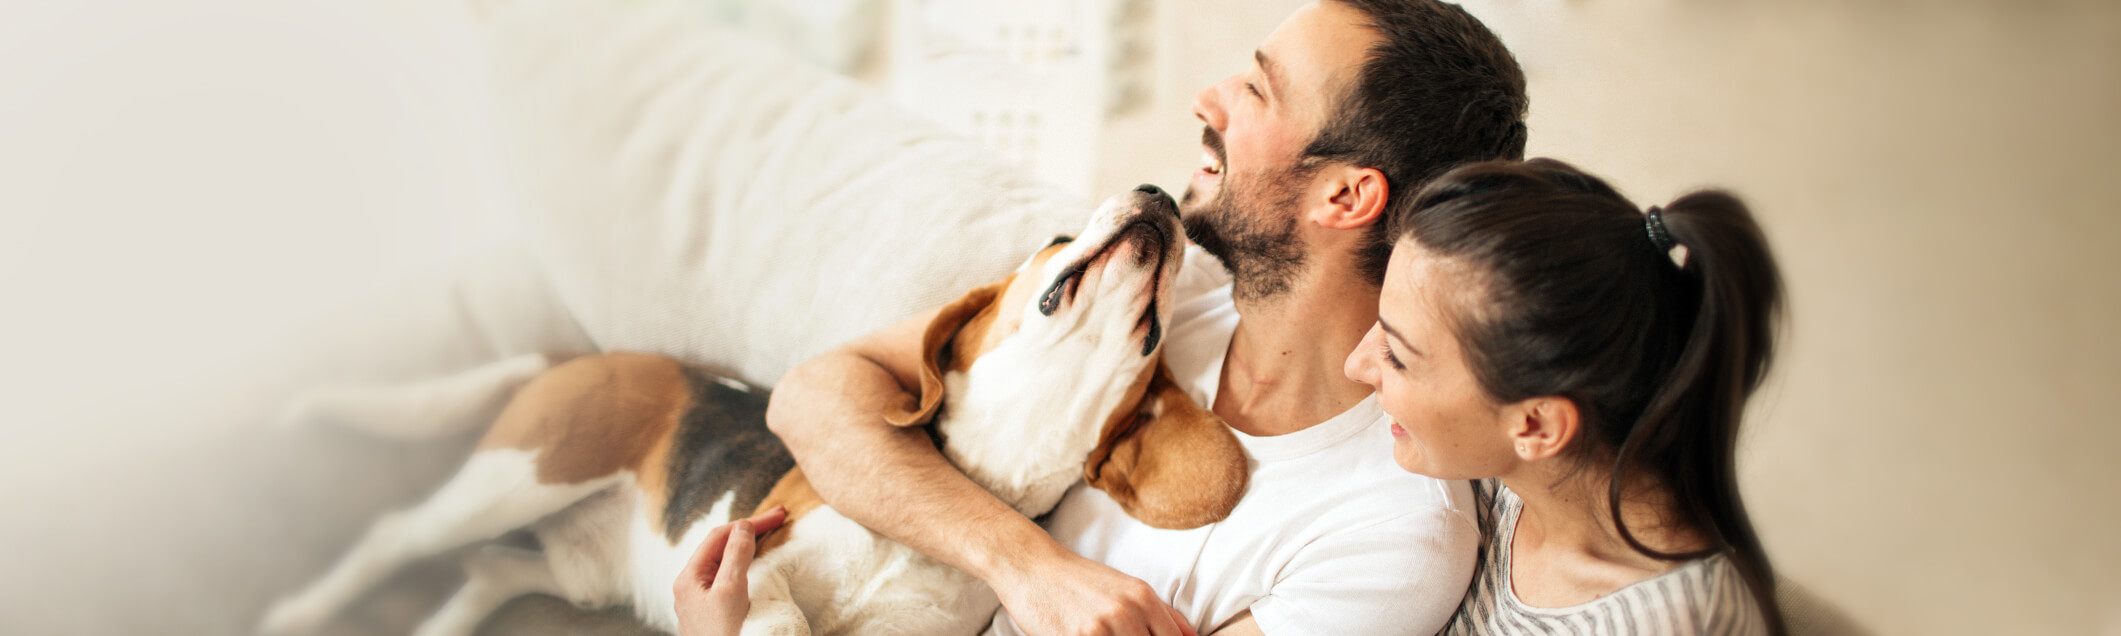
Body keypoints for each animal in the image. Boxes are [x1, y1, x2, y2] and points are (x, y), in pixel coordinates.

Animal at [265, 186, 1255, 631]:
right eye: (1055, 239)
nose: (1161, 193)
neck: (965, 497)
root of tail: (609, 356)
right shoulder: (753, 559)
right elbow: (777, 615)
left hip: (577, 572)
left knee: (486, 574)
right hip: (528, 471)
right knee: (395, 535)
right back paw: (294, 612)